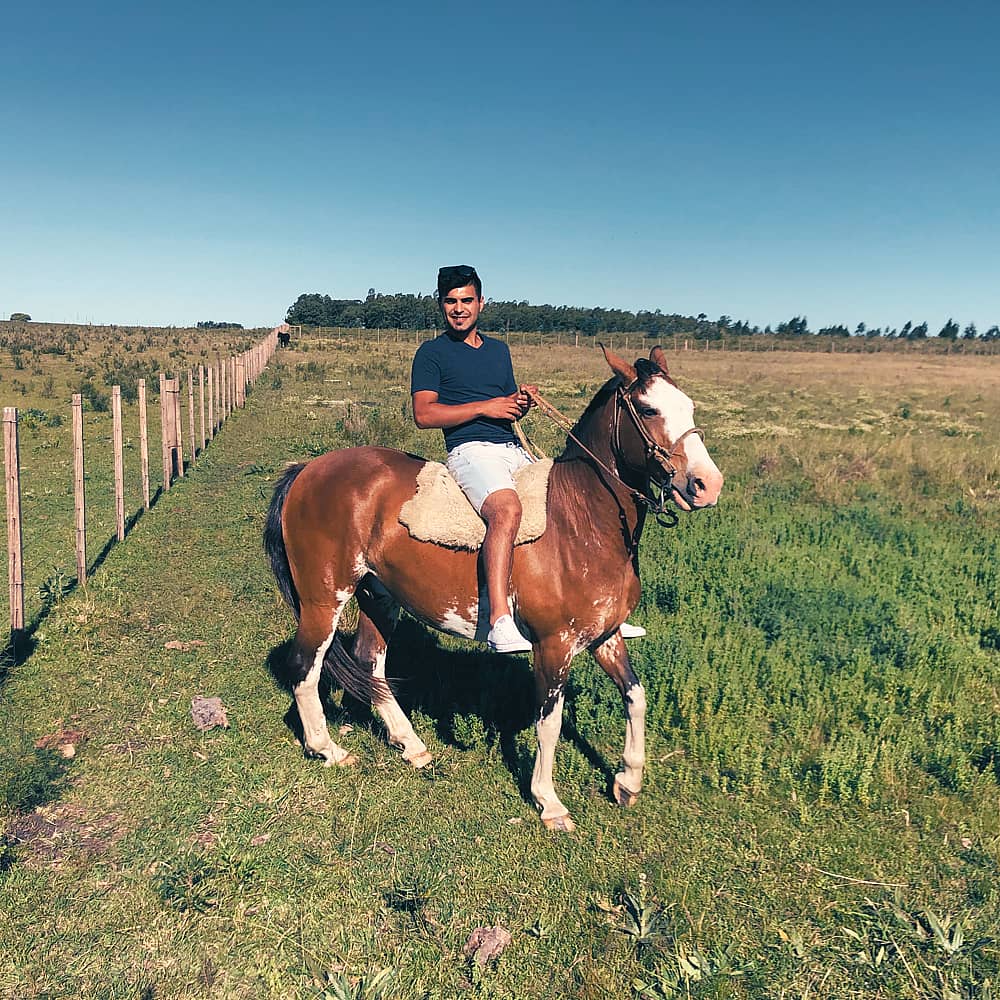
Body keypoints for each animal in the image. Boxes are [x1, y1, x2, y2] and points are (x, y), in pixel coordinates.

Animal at [264, 344, 720, 828]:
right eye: (649, 409)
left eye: (689, 405)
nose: (707, 484)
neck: (580, 521)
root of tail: (307, 470)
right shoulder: (553, 645)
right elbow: (549, 722)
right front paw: (549, 802)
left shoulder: (606, 636)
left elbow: (636, 697)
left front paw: (627, 781)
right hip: (324, 598)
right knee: (305, 666)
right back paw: (328, 749)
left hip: (379, 597)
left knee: (370, 662)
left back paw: (413, 746)